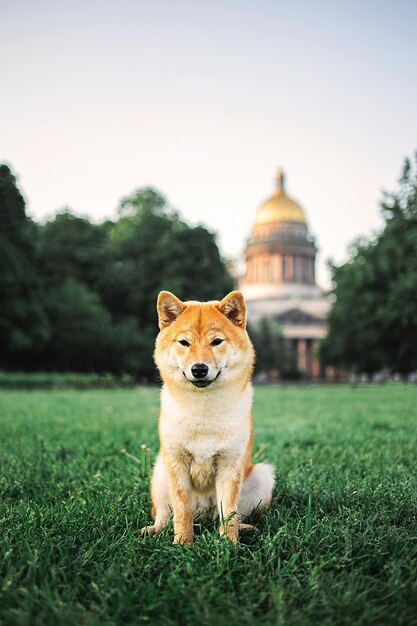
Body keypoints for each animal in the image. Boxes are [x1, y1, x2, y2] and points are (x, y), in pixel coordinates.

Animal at [141, 288, 274, 540]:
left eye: (216, 342)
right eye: (184, 342)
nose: (199, 369)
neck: (203, 411)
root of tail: (202, 513)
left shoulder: (230, 465)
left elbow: (229, 511)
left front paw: (229, 543)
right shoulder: (176, 463)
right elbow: (182, 511)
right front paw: (183, 542)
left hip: (262, 476)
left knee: (235, 515)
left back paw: (244, 528)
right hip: (160, 473)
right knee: (163, 514)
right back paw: (154, 529)